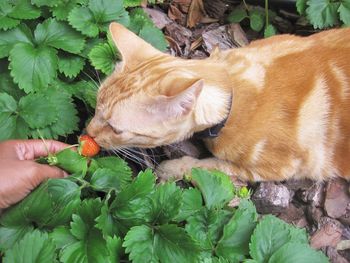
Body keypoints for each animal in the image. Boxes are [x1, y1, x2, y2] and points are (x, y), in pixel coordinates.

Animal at [87, 22, 350, 183]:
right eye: (96, 106)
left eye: (115, 129)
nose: (87, 131)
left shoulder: (277, 167)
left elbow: (207, 166)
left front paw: (172, 168)